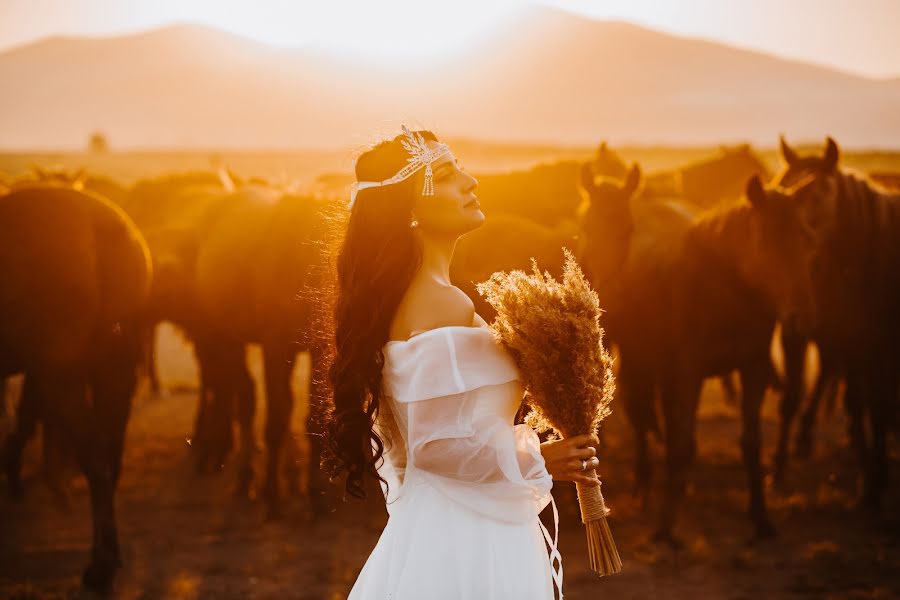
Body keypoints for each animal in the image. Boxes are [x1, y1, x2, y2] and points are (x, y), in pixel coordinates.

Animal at [0, 185, 151, 588]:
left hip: (63, 372)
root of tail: (101, 229)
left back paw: (99, 566)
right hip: (113, 366)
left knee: (95, 457)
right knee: (110, 458)